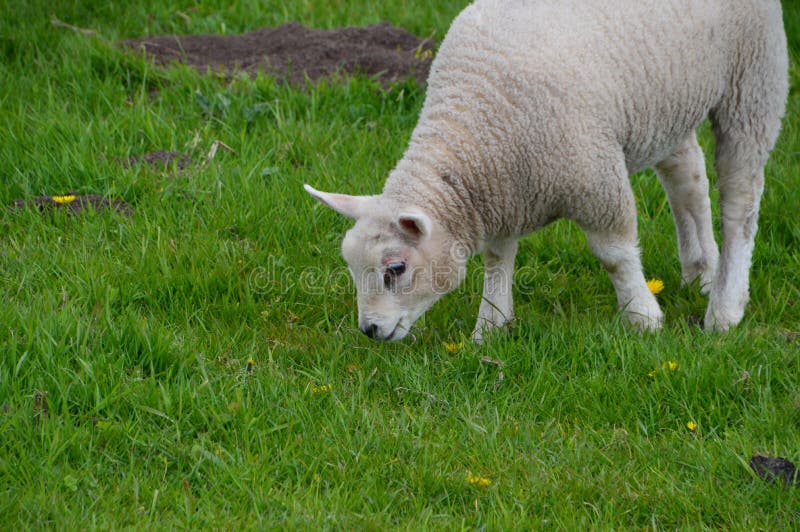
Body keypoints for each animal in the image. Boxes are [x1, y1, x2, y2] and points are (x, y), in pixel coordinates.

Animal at [305, 0, 789, 342]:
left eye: (396, 268)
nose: (370, 330)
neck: (475, 126)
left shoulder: (593, 176)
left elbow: (614, 255)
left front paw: (642, 317)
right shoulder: (503, 189)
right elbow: (498, 258)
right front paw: (491, 327)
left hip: (753, 78)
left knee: (741, 199)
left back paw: (725, 306)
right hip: (667, 100)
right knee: (687, 177)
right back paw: (701, 271)